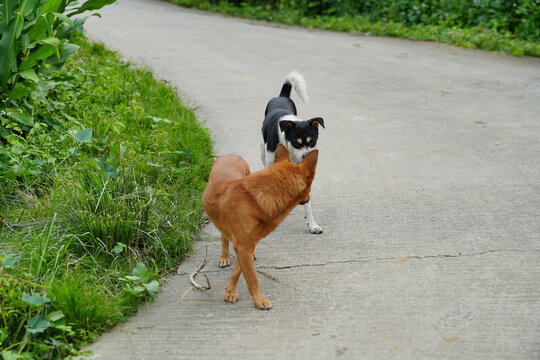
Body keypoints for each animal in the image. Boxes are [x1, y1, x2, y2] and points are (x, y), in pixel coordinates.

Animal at [205, 143, 318, 310]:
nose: (308, 199)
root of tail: (231, 155)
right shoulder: (243, 246)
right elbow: (252, 278)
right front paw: (259, 301)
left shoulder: (246, 246)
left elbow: (238, 271)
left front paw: (230, 292)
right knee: (224, 237)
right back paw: (224, 256)